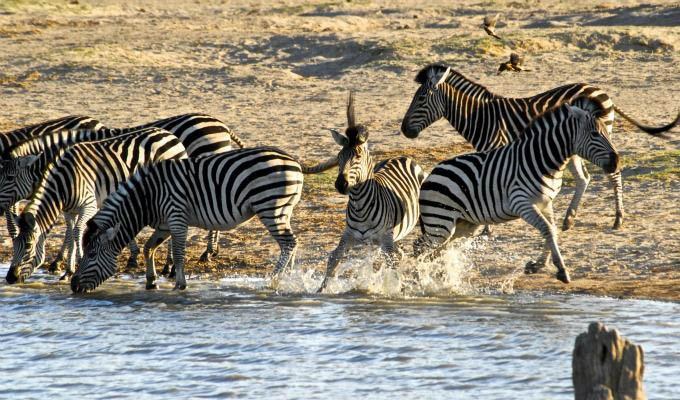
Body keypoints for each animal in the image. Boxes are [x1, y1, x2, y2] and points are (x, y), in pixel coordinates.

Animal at [5, 128, 189, 284]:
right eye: (14, 245)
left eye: (28, 246)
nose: (9, 278)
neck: (64, 185)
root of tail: (170, 135)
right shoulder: (69, 211)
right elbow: (70, 234)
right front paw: (68, 271)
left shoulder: (89, 205)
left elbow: (78, 232)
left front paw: (78, 262)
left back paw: (170, 268)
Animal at [69, 145, 310, 292]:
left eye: (91, 254)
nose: (73, 285)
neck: (148, 198)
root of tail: (294, 162)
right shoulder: (164, 225)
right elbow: (149, 247)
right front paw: (151, 281)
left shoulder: (176, 217)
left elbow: (178, 252)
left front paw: (179, 285)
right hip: (283, 209)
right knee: (291, 244)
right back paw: (289, 276)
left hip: (269, 206)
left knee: (288, 242)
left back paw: (273, 280)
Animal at [318, 93, 424, 294]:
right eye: (339, 157)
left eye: (358, 156)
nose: (340, 184)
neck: (359, 205)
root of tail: (401, 157)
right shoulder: (348, 235)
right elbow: (334, 258)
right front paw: (320, 290)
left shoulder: (386, 239)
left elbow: (392, 267)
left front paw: (398, 290)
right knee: (400, 254)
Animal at [402, 63, 676, 231]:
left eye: (421, 98)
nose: (404, 131)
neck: (482, 116)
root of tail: (601, 89)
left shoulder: (496, 148)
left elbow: (482, 186)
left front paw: (487, 228)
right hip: (576, 148)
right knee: (584, 178)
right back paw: (568, 220)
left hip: (600, 137)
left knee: (613, 172)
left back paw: (618, 219)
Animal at [414, 103, 620, 284]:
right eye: (595, 134)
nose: (616, 163)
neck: (542, 160)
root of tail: (431, 173)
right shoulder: (521, 203)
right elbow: (548, 230)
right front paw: (561, 270)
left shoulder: (546, 202)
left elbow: (552, 231)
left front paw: (536, 265)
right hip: (441, 222)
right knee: (422, 247)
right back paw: (417, 278)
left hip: (464, 224)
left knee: (434, 249)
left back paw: (435, 277)